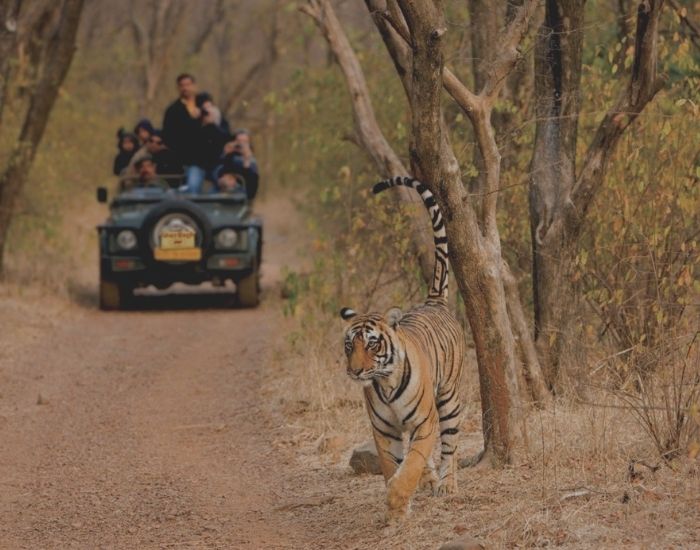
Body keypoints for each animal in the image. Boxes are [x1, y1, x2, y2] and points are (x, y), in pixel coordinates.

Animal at [340, 178, 464, 528]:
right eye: (349, 345)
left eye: (371, 343)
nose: (355, 371)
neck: (385, 383)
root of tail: (434, 301)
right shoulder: (384, 430)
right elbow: (391, 465)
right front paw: (396, 509)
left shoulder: (425, 422)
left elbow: (410, 465)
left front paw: (398, 499)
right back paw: (432, 480)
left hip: (448, 398)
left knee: (450, 444)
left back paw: (447, 485)